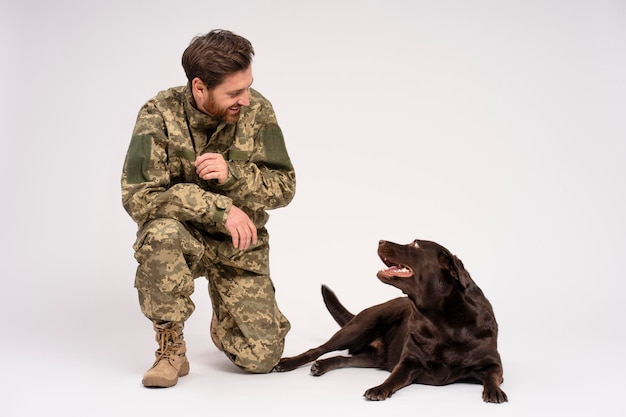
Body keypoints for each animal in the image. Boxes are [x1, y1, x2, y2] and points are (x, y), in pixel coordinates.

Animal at [274, 239, 508, 402]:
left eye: (415, 244)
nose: (380, 241)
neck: (442, 320)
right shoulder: (409, 361)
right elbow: (394, 378)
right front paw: (379, 388)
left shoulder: (493, 363)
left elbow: (492, 376)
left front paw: (495, 391)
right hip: (360, 326)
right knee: (319, 349)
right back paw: (289, 363)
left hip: (372, 357)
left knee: (343, 358)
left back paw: (322, 366)